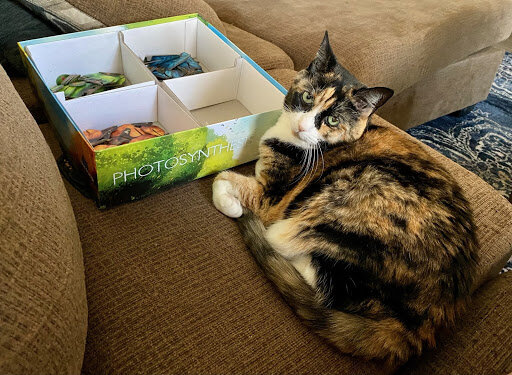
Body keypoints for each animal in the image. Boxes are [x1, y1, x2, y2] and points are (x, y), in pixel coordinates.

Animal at [210, 31, 478, 364]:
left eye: (334, 121)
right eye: (308, 98)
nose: (302, 126)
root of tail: (430, 318)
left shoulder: (271, 197)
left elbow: (223, 178)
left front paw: (231, 205)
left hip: (333, 205)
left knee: (314, 276)